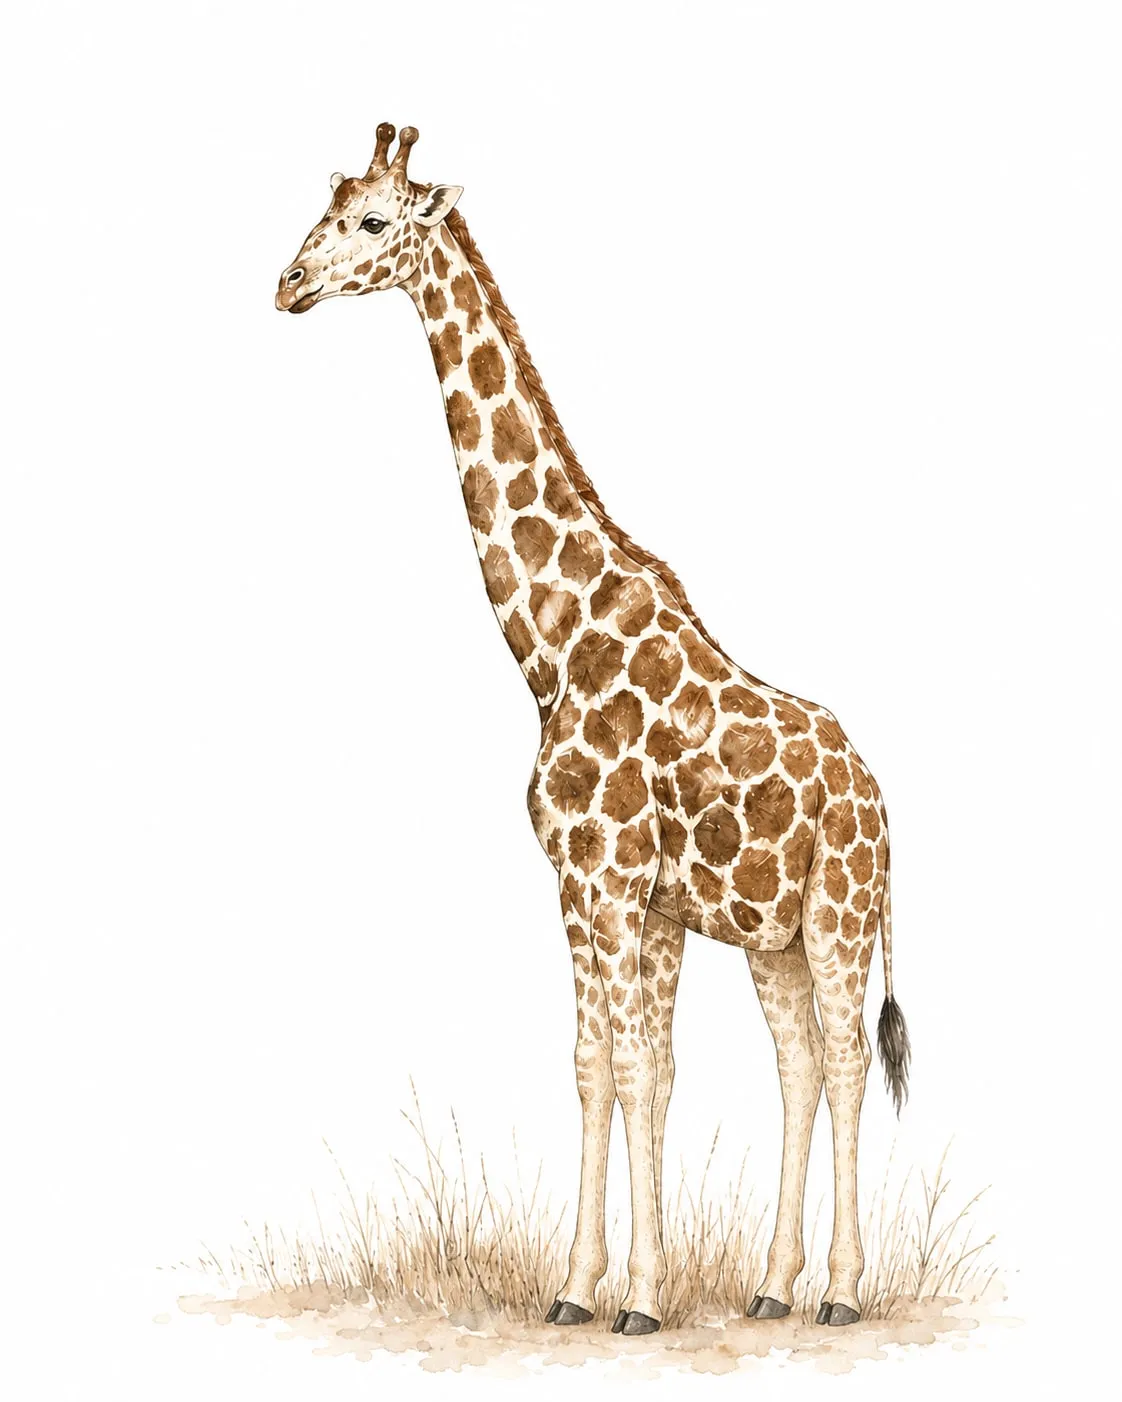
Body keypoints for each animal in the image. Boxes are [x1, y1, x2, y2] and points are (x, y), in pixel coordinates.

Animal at [276, 123, 911, 1335]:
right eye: (321, 208)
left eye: (372, 221)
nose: (287, 283)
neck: (551, 644)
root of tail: (880, 798)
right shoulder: (619, 897)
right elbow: (612, 1067)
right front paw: (587, 1289)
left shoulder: (606, 880)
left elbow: (625, 1068)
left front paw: (637, 1298)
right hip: (774, 938)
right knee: (802, 1065)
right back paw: (774, 1286)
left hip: (840, 916)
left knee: (852, 1060)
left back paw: (843, 1294)